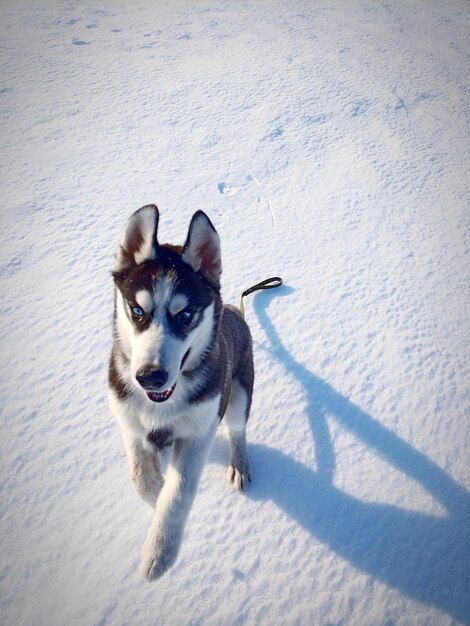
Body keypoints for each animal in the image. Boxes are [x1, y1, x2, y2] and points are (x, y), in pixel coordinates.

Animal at [109, 206, 253, 580]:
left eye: (185, 314)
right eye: (137, 310)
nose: (150, 377)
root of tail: (235, 312)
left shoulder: (199, 430)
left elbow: (178, 495)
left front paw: (159, 552)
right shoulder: (128, 420)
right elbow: (142, 479)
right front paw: (155, 488)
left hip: (239, 393)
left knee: (238, 430)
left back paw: (240, 463)